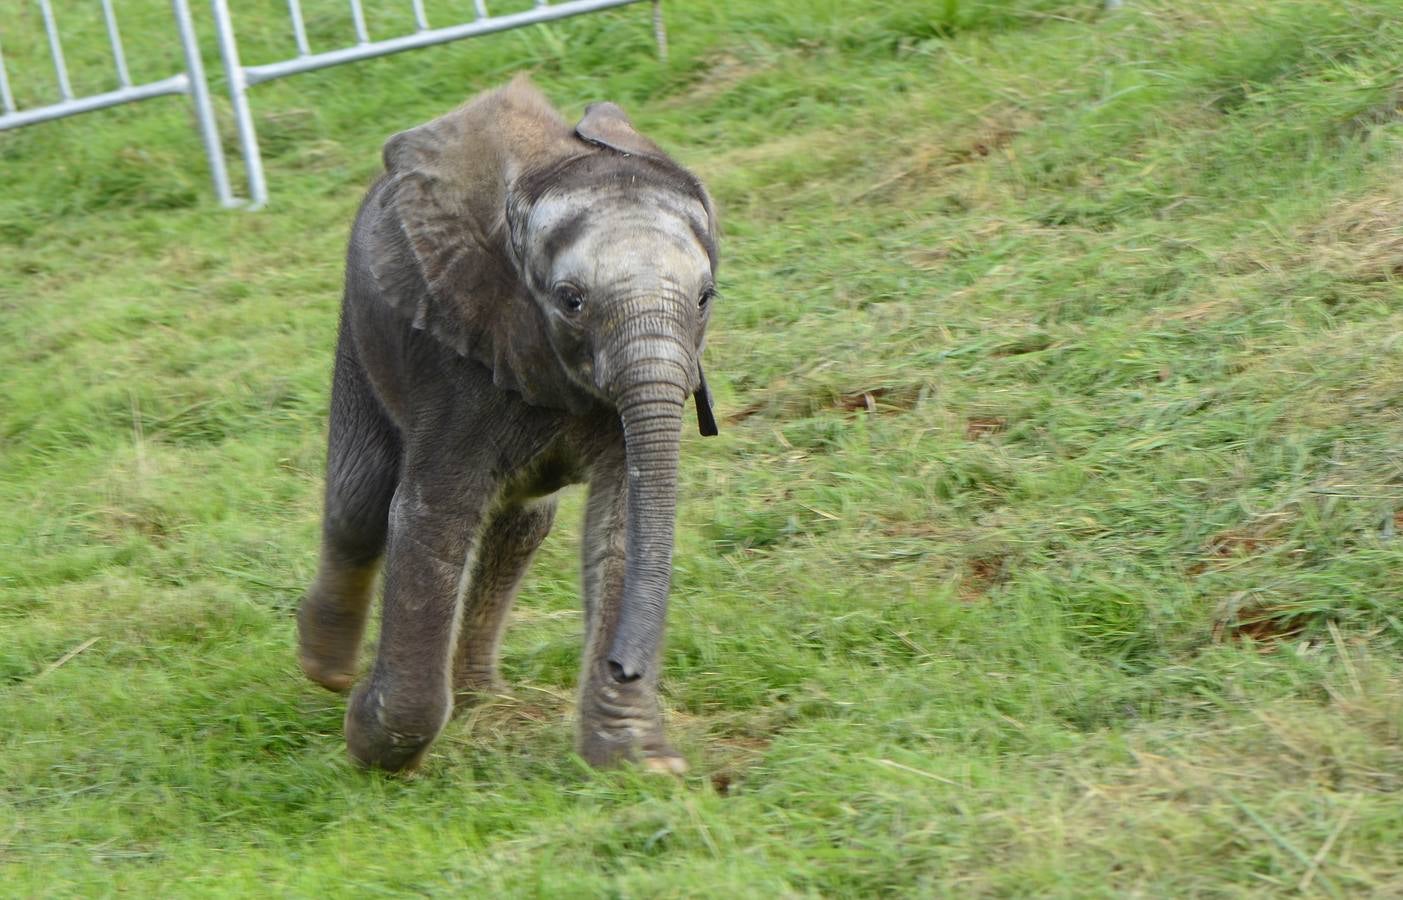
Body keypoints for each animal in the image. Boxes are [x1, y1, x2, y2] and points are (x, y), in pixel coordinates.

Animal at [293, 78, 712, 775]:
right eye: (571, 301)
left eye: (705, 298)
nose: (624, 666)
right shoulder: (455, 360)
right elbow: (431, 517)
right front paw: (369, 740)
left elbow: (621, 523)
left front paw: (641, 765)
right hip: (361, 323)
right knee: (358, 502)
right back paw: (325, 671)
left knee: (523, 522)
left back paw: (479, 697)